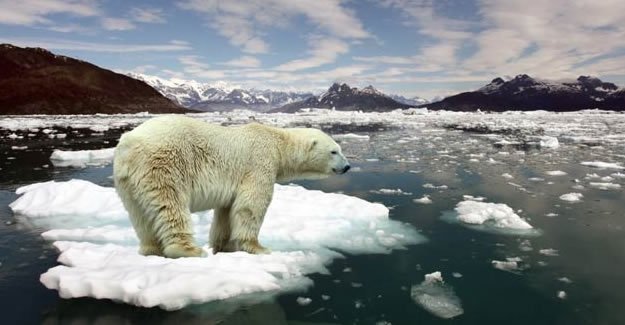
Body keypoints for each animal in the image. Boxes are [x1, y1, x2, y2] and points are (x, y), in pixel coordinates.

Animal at [113, 115, 352, 256]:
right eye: (334, 151)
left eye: (340, 149)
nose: (348, 166)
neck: (277, 143)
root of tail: (128, 145)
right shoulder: (259, 163)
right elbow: (251, 205)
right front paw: (258, 247)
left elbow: (226, 212)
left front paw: (223, 246)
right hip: (164, 164)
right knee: (170, 205)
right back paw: (189, 250)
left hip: (128, 182)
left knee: (140, 215)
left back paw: (151, 249)